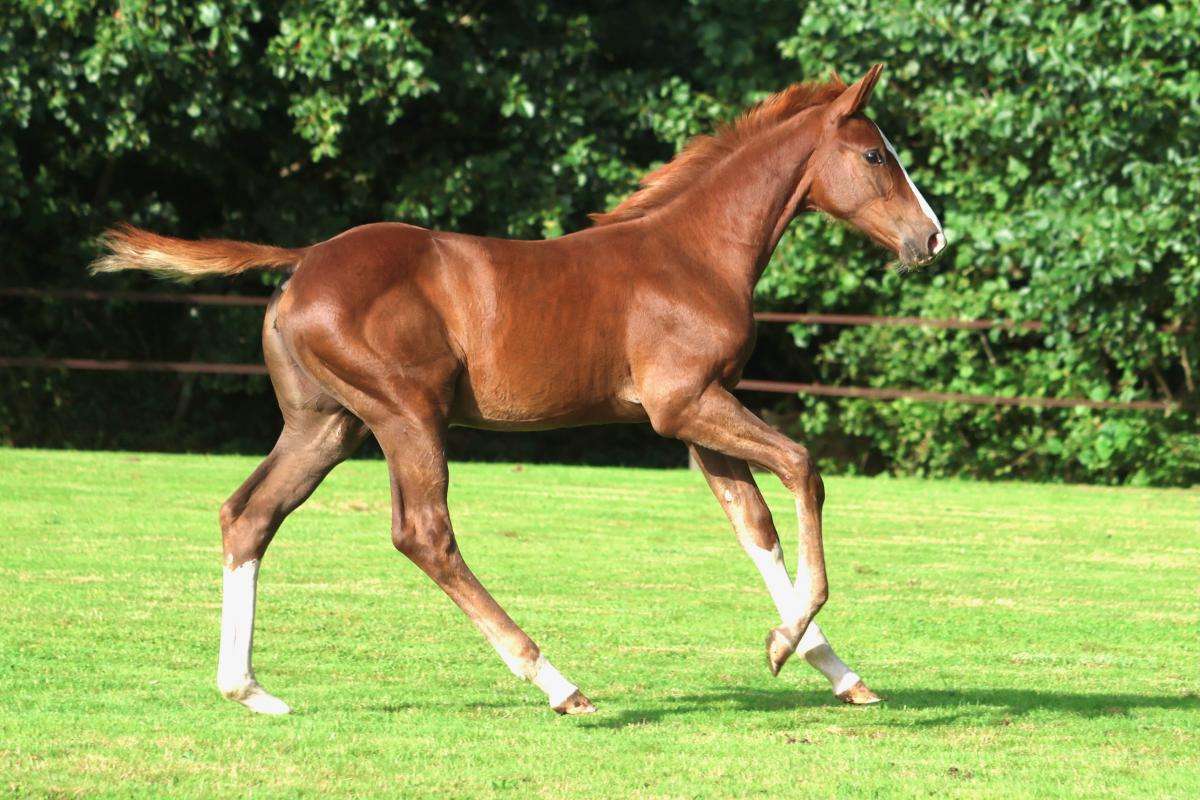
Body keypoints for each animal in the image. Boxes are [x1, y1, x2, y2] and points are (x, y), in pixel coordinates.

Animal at [92, 64, 945, 715]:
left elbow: (754, 527)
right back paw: (559, 684)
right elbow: (804, 468)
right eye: (875, 156)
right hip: (406, 415)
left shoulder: (700, 419)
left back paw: (249, 690)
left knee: (250, 515)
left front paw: (832, 669)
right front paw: (785, 641)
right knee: (424, 534)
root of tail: (302, 261)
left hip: (327, 424)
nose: (933, 237)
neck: (694, 254)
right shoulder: (686, 406)